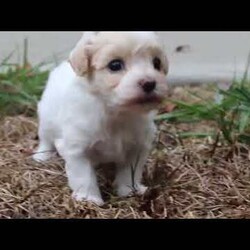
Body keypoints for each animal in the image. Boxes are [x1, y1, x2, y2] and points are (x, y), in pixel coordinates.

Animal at [32, 32, 168, 206]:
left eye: (156, 63)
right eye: (115, 65)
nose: (150, 83)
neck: (116, 112)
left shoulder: (137, 147)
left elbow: (130, 171)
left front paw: (130, 190)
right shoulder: (78, 149)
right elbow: (84, 176)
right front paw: (89, 199)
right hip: (46, 121)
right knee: (46, 140)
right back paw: (42, 156)